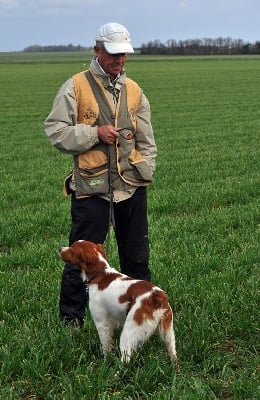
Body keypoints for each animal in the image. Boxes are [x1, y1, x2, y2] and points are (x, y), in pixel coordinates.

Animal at [59, 239, 178, 368]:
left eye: (72, 249)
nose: (60, 249)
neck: (99, 273)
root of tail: (156, 296)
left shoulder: (101, 321)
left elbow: (106, 345)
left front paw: (105, 363)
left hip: (128, 332)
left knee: (126, 358)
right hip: (168, 333)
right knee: (173, 354)